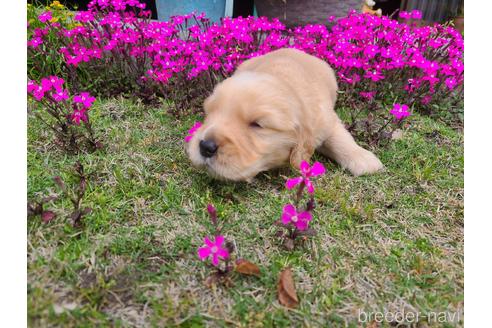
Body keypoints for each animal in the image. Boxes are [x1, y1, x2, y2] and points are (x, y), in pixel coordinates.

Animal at [186, 47, 382, 181]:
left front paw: (364, 160)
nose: (205, 146)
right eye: (210, 113)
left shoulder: (326, 119)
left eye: (256, 124)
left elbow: (341, 139)